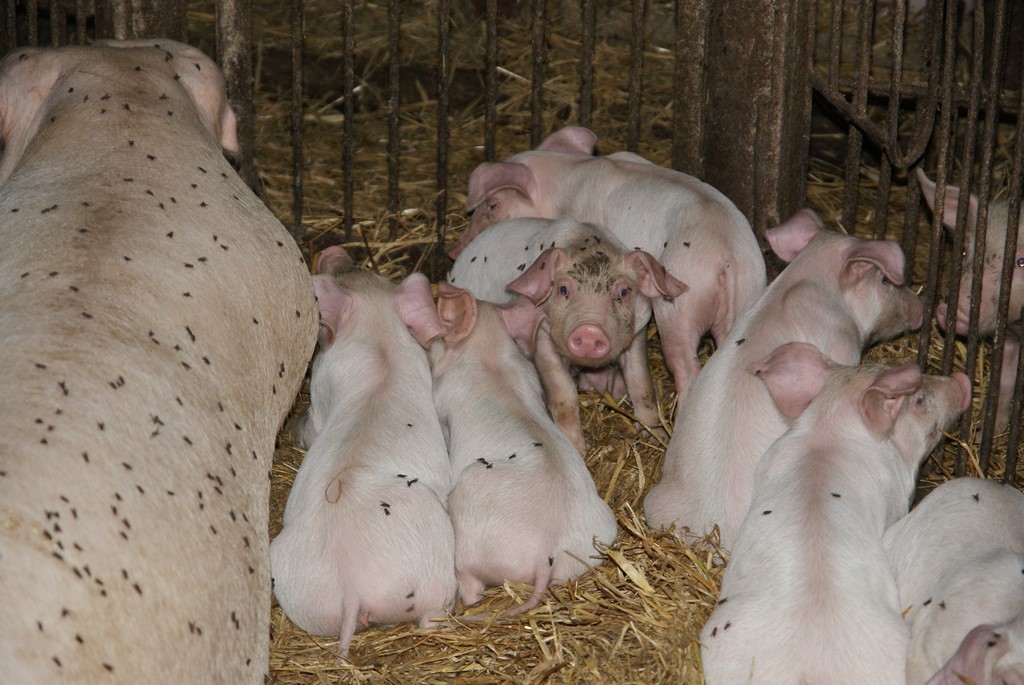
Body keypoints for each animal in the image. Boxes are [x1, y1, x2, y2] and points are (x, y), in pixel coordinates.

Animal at [270, 247, 458, 659]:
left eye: (372, 273)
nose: (335, 253)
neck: (378, 338)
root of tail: (352, 585)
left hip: (294, 580)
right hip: (434, 566)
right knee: (433, 616)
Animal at [449, 215, 687, 450]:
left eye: (623, 292)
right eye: (563, 289)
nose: (590, 330)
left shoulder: (638, 332)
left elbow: (641, 384)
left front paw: (655, 438)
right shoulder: (542, 336)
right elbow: (563, 393)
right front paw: (577, 449)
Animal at [453, 125, 766, 414]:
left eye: (493, 205)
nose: (453, 251)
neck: (564, 183)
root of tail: (726, 259)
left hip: (679, 307)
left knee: (686, 367)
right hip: (748, 295)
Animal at [919, 169, 1023, 433]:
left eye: (1021, 262)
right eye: (965, 250)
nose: (955, 309)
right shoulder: (1007, 335)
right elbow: (1003, 380)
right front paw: (987, 431)